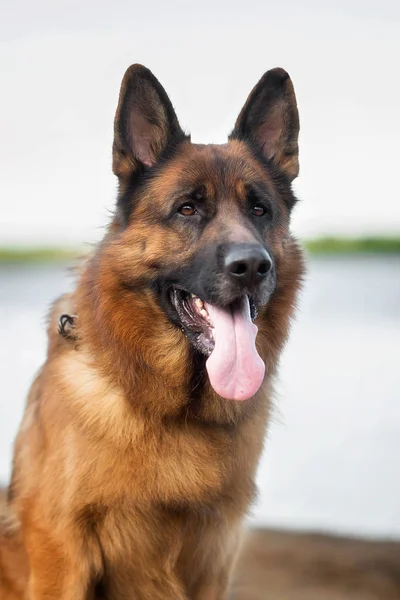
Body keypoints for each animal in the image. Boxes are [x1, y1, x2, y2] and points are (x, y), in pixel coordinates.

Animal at [0, 63, 304, 596]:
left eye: (260, 210)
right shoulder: (63, 560)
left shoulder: (212, 563)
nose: (253, 266)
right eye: (187, 209)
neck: (174, 411)